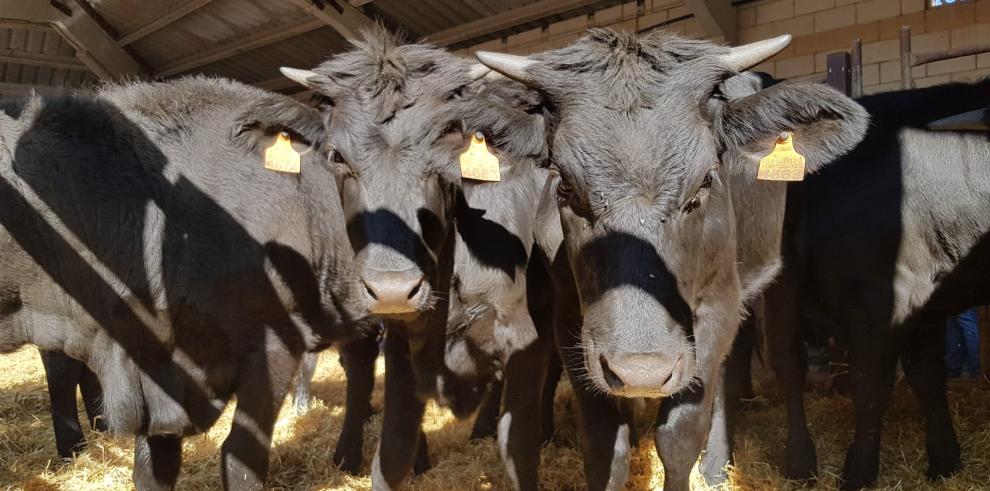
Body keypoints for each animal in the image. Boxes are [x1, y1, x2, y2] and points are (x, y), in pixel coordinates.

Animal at [280, 28, 560, 490]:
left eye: (446, 152)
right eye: (338, 157)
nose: (393, 290)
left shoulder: (524, 337)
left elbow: (519, 447)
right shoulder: (400, 344)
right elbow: (392, 451)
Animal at [476, 27, 872, 491]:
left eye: (705, 182)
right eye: (565, 186)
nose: (642, 372)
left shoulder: (717, 305)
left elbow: (680, 434)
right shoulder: (572, 320)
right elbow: (604, 444)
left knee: (781, 362)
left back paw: (784, 460)